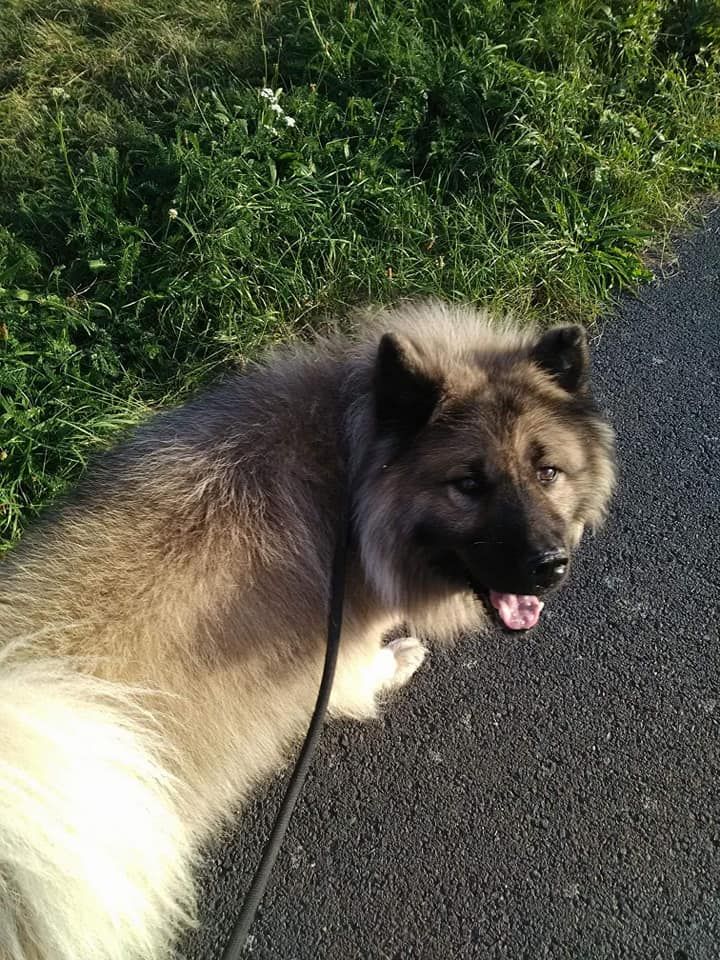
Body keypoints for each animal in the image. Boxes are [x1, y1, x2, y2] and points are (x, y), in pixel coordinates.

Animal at [1, 304, 612, 960]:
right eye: (469, 485)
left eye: (547, 471)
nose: (550, 565)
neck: (347, 473)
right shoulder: (338, 645)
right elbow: (360, 675)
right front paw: (397, 661)